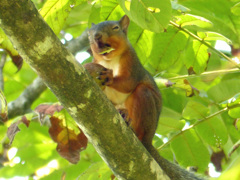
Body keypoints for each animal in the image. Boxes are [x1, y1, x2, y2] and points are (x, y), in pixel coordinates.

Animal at [83, 15, 202, 180]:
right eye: (89, 34)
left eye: (115, 28)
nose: (96, 36)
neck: (110, 60)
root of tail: (149, 140)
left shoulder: (133, 64)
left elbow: (128, 83)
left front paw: (109, 77)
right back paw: (123, 114)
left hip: (144, 104)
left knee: (140, 96)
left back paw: (131, 125)